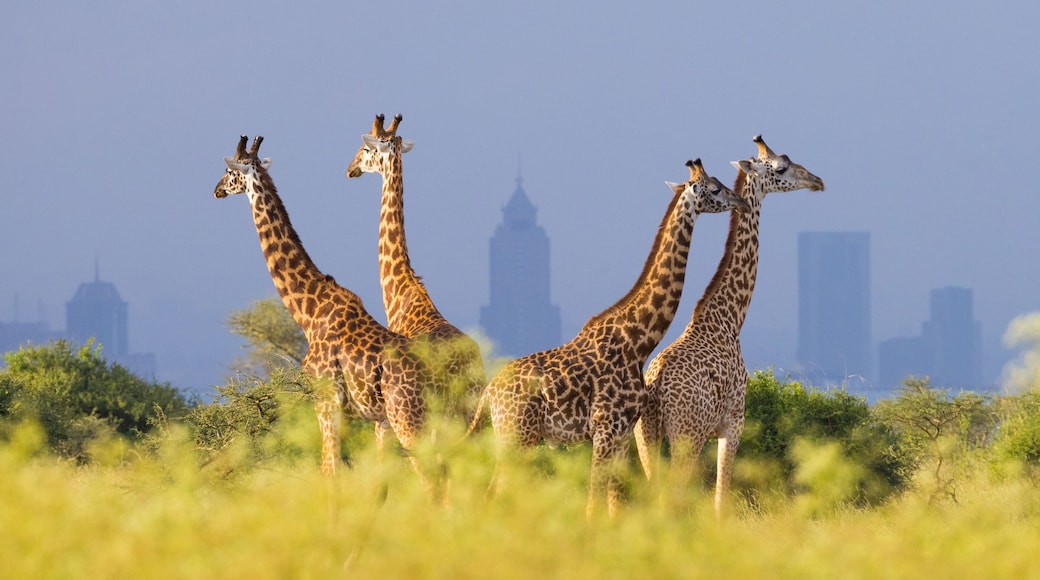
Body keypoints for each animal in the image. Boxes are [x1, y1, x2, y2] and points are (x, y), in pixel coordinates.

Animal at [213, 135, 437, 484]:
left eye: (228, 170)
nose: (217, 189)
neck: (309, 310)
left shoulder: (326, 400)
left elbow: (328, 470)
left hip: (406, 416)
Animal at [475, 159, 748, 517]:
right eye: (715, 189)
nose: (740, 202)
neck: (638, 341)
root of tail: (488, 393)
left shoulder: (622, 435)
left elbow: (615, 503)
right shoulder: (605, 429)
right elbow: (593, 502)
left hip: (518, 436)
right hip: (516, 435)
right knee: (492, 493)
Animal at [633, 135, 825, 517]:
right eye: (781, 167)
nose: (816, 180)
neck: (730, 320)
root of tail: (657, 385)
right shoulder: (734, 421)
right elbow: (722, 498)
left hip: (645, 435)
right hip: (686, 435)